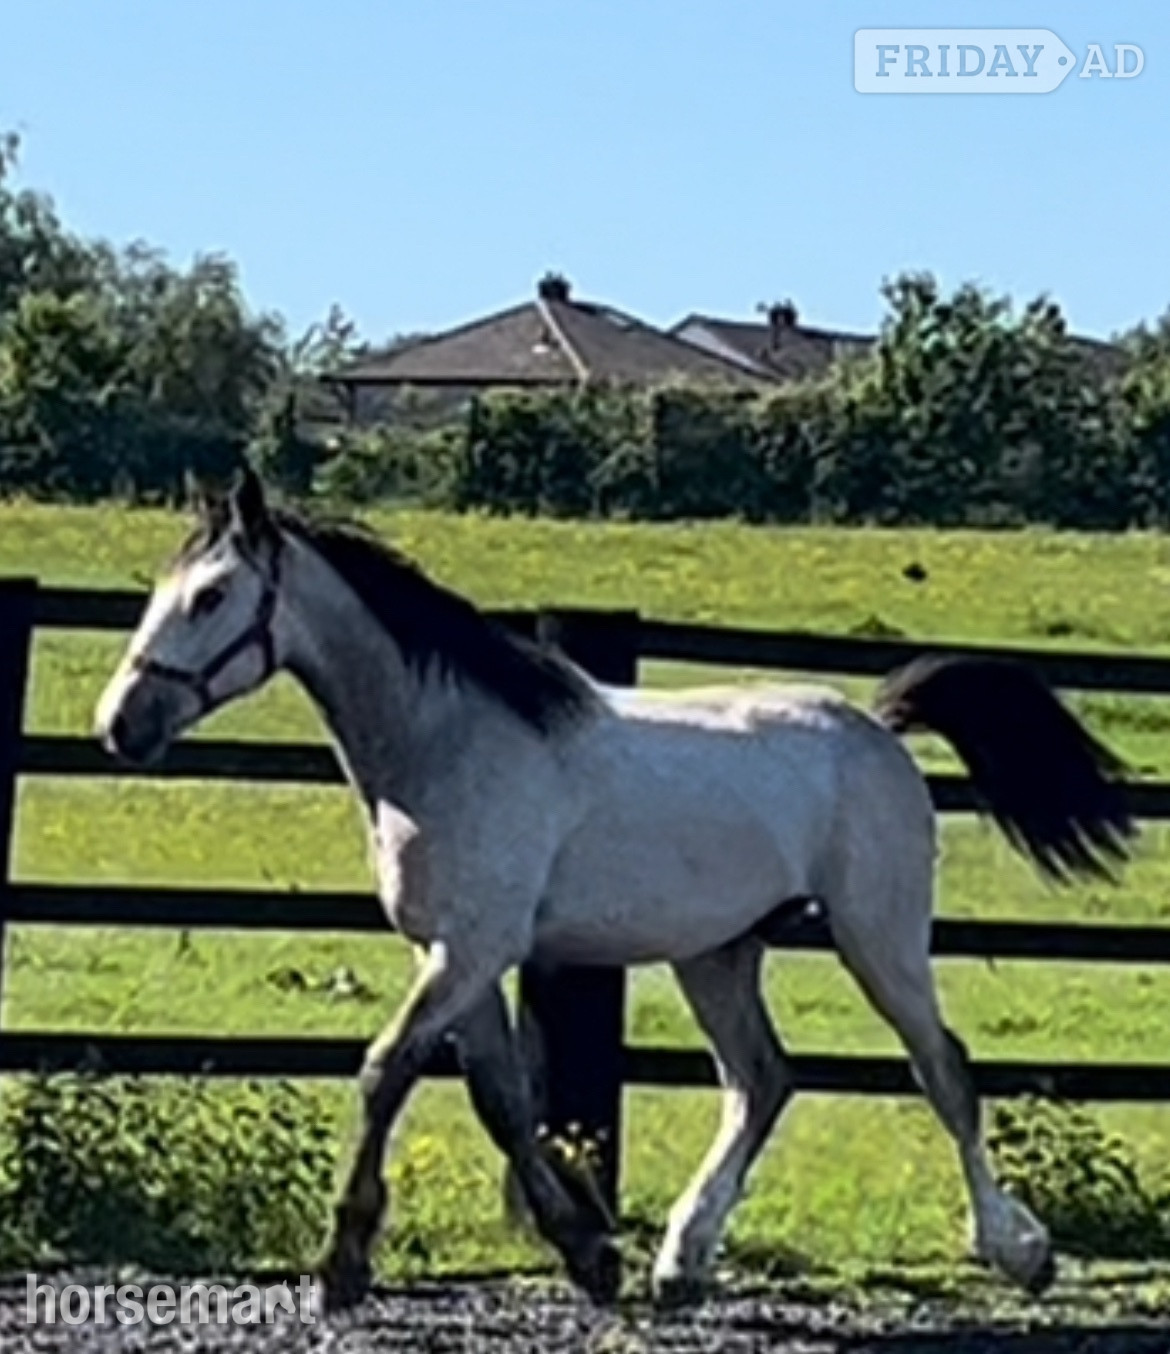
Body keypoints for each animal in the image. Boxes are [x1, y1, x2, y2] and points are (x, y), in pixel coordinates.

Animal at [94, 468, 1134, 1311]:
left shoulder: (470, 950)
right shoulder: (459, 955)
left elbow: (387, 1070)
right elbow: (502, 1102)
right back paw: (681, 1261)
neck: (447, 747)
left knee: (943, 1071)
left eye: (212, 595)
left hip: (878, 936)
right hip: (718, 953)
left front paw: (344, 1261)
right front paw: (589, 1254)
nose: (120, 724)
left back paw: (1017, 1252)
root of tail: (876, 725)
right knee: (761, 1081)